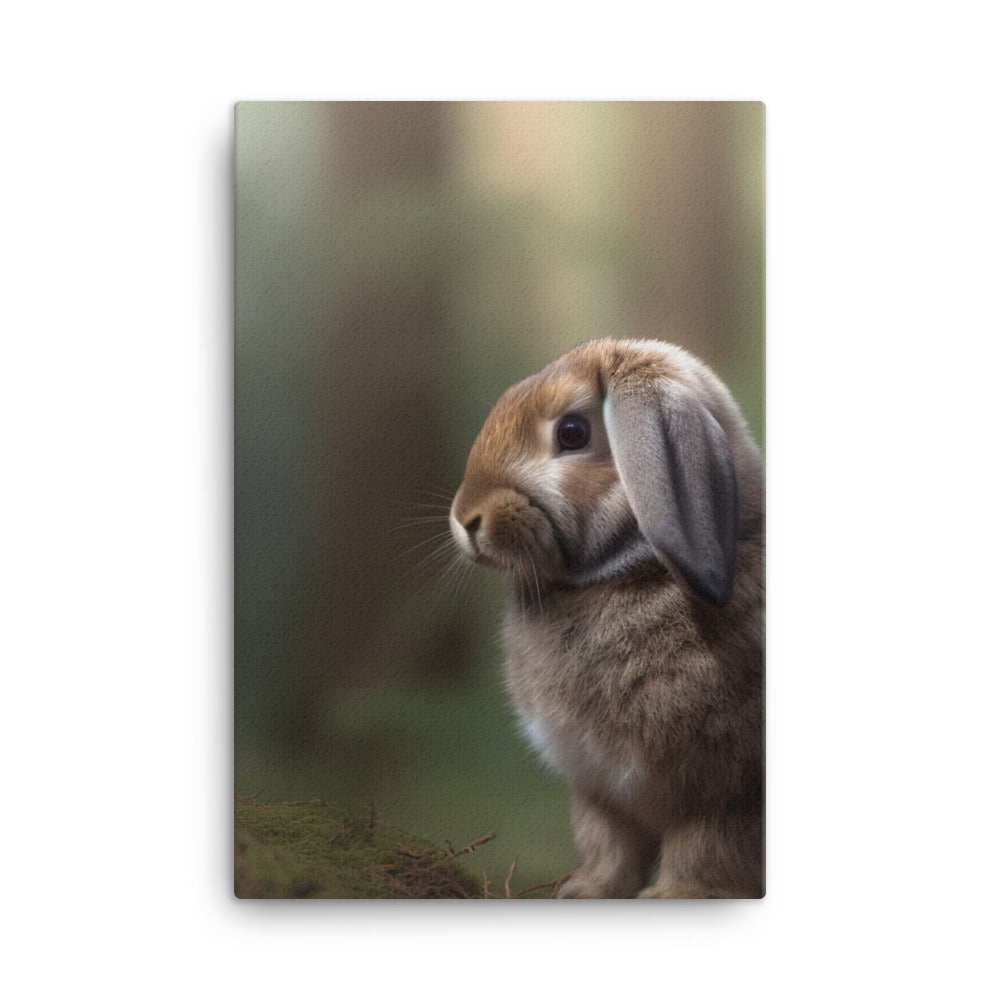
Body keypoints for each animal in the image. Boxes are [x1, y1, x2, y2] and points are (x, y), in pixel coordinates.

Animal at [449, 338, 764, 898]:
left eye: (573, 432)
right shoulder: (600, 793)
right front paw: (583, 893)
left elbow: (705, 849)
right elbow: (608, 846)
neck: (626, 570)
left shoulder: (724, 797)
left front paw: (672, 898)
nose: (465, 520)